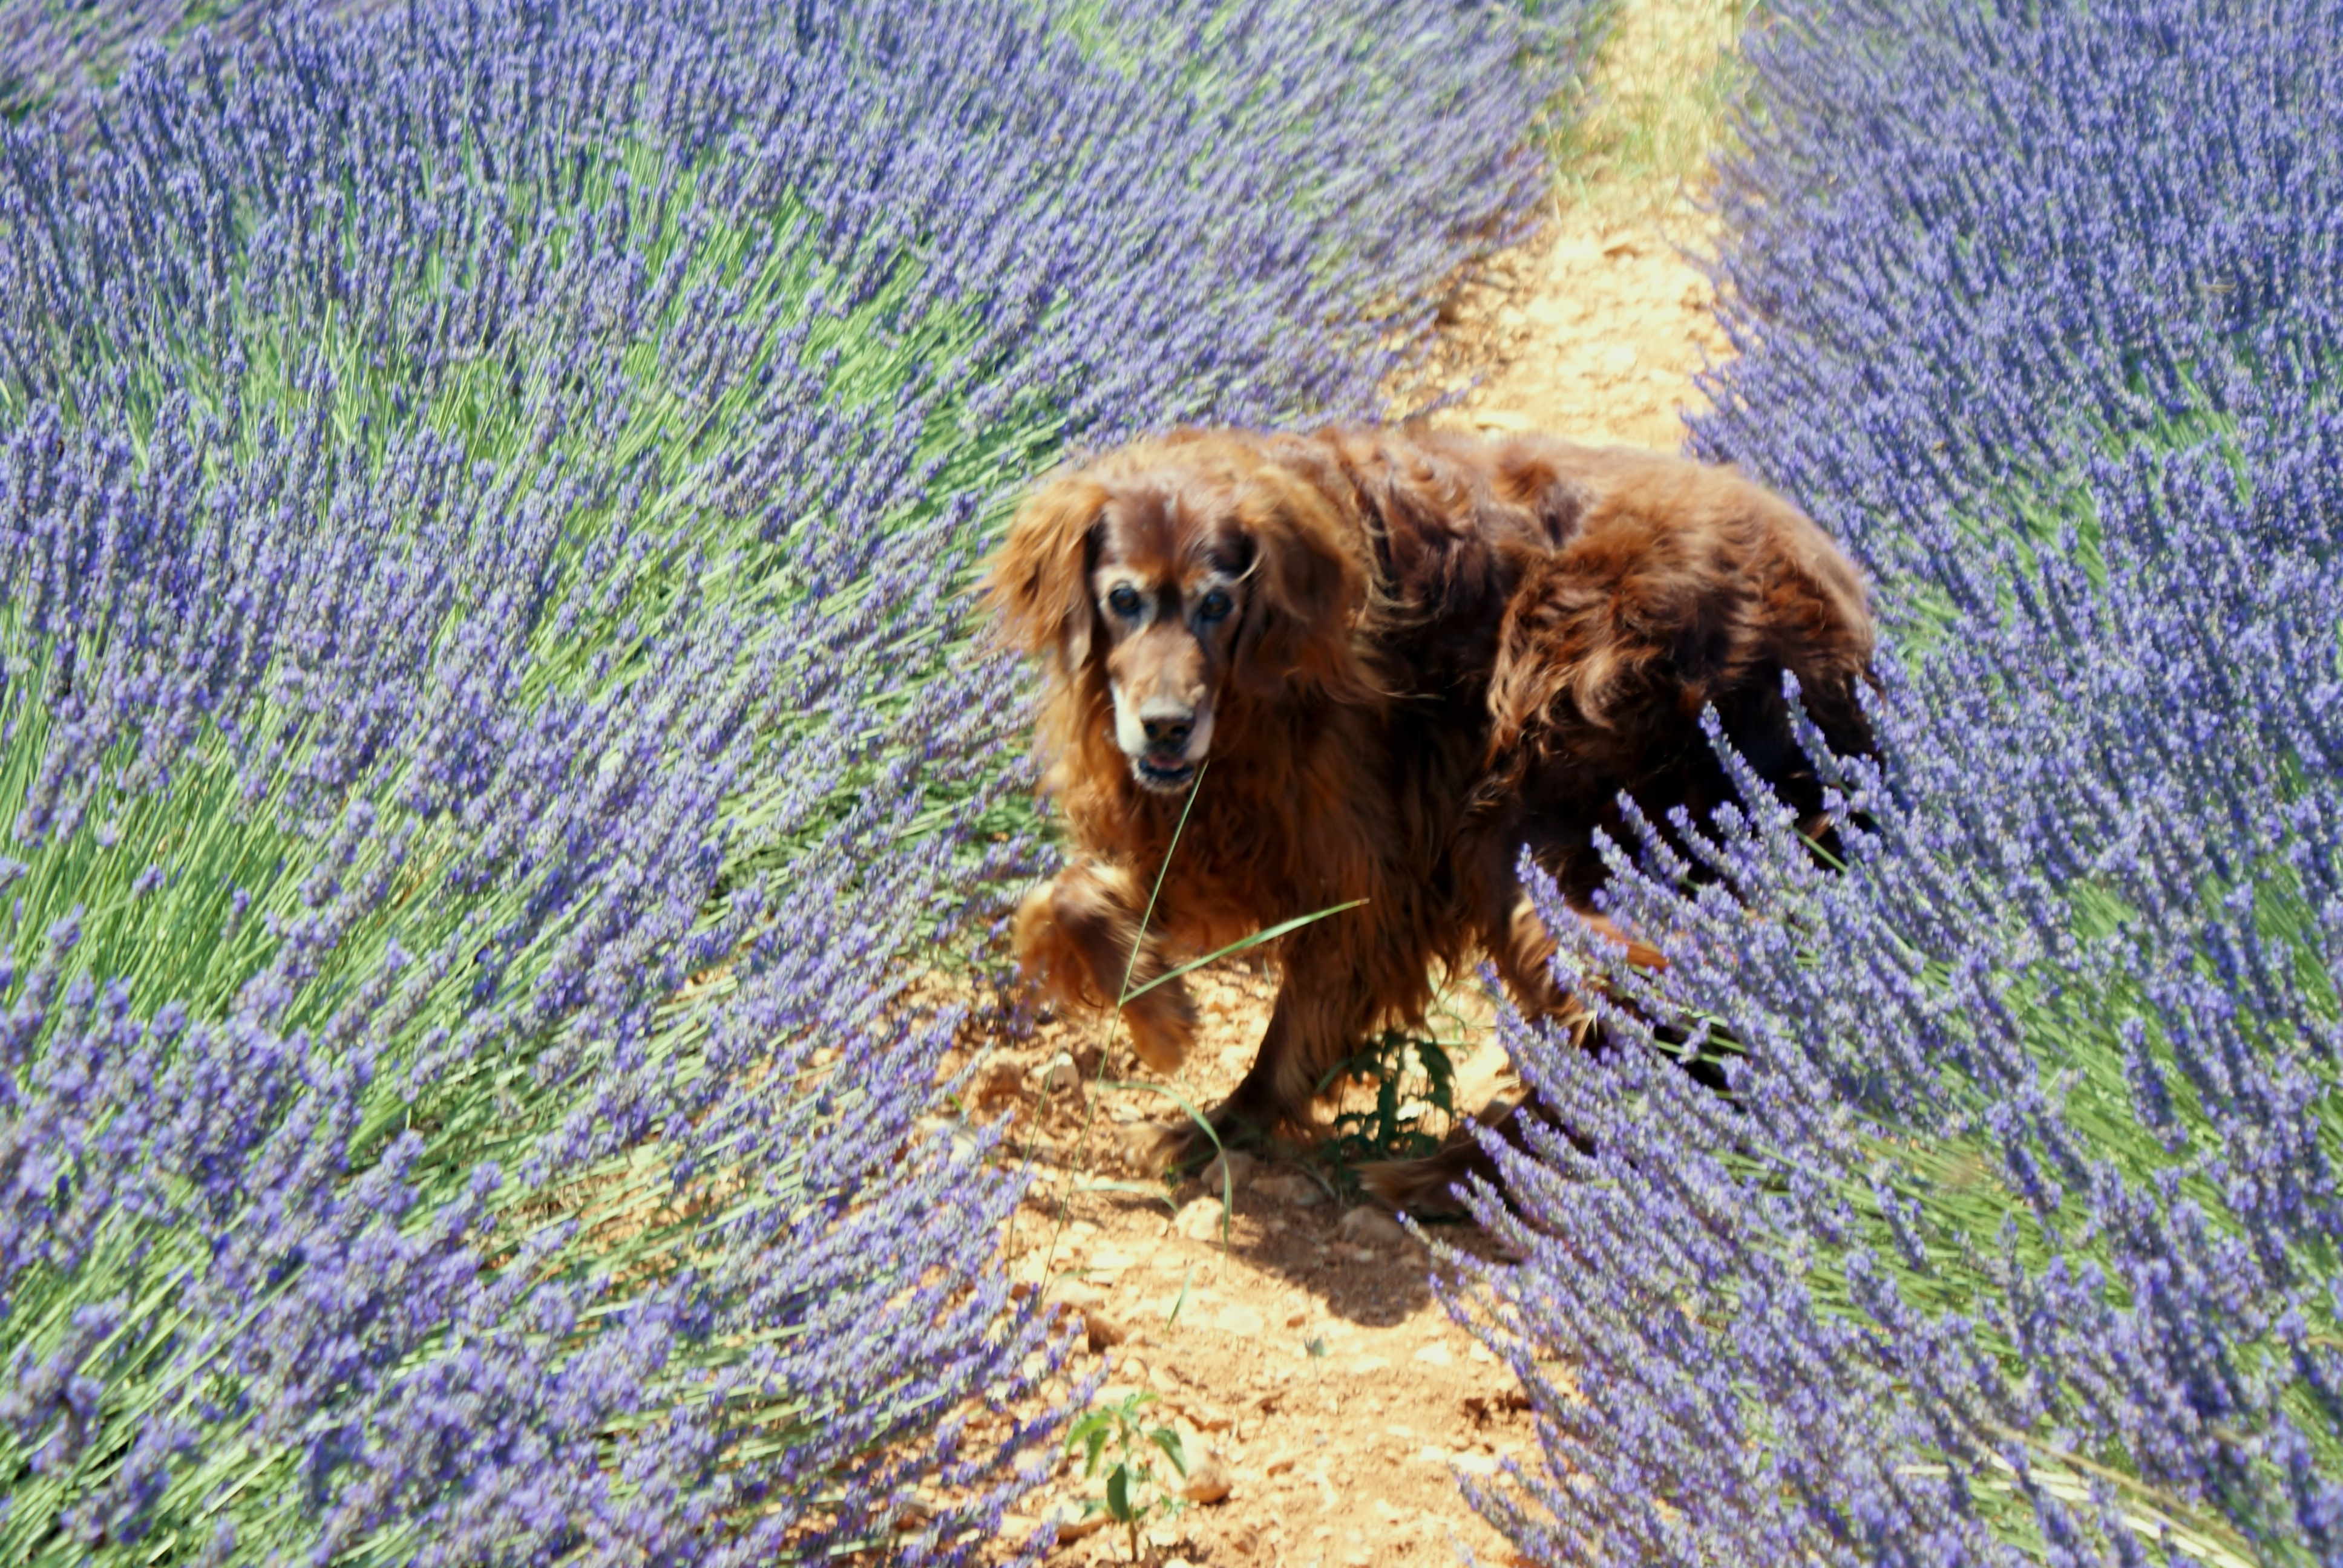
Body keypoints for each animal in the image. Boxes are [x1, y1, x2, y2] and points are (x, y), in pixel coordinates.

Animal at [979, 422, 1874, 1209]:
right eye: (1122, 598)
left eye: (1215, 606)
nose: (1164, 724)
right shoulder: (1222, 827)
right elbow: (1062, 900)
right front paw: (1161, 1011)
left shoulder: (1353, 856)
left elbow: (1298, 1011)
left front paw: (1205, 1083)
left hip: (1535, 825)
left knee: (1650, 1017)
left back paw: (1470, 1177)